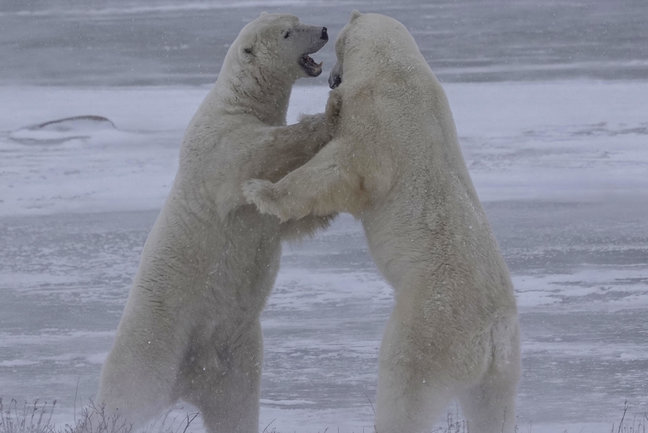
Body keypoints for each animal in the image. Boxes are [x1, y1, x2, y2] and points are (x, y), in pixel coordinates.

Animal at [97, 12, 340, 432]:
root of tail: (191, 377)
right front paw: (327, 116)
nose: (323, 31)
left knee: (236, 407)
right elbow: (262, 152)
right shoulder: (220, 145)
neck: (240, 100)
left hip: (236, 354)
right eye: (288, 32)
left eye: (298, 18)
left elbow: (289, 214)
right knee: (127, 399)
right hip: (154, 342)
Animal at [243, 10, 520, 432]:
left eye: (338, 49)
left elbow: (339, 168)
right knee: (494, 411)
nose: (332, 78)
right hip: (501, 371)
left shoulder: (376, 118)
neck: (395, 67)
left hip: (429, 323)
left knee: (404, 386)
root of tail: (492, 336)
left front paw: (261, 191)